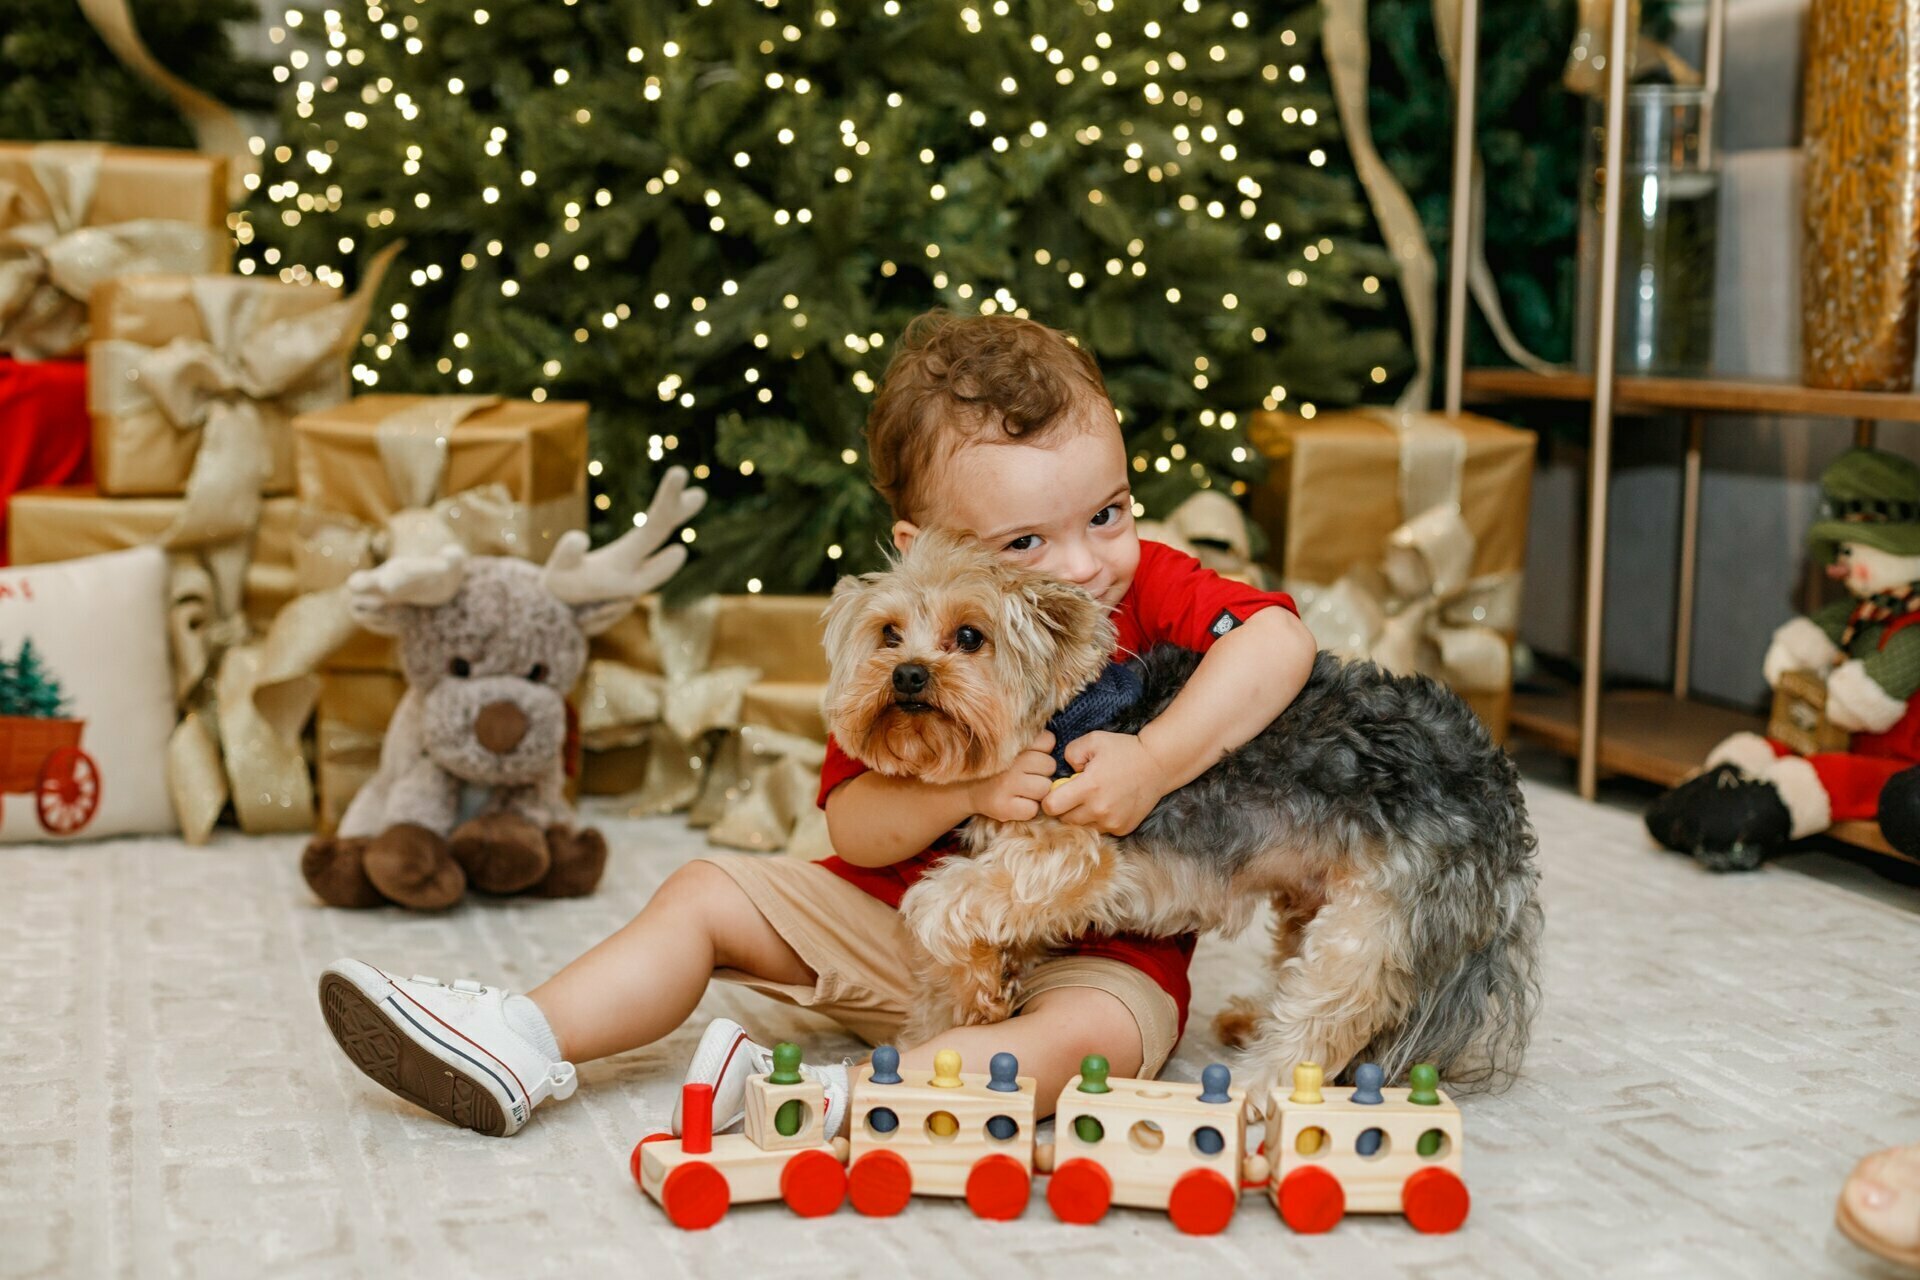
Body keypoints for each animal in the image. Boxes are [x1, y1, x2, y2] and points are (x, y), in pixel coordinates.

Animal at [821, 529, 1543, 1090]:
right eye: (888, 635)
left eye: (970, 636)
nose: (908, 675)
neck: (1060, 713)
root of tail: (1502, 796)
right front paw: (974, 997)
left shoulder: (1070, 852)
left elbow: (934, 908)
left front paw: (977, 994)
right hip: (1316, 901)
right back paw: (1251, 1016)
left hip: (1368, 935)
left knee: (1310, 1040)